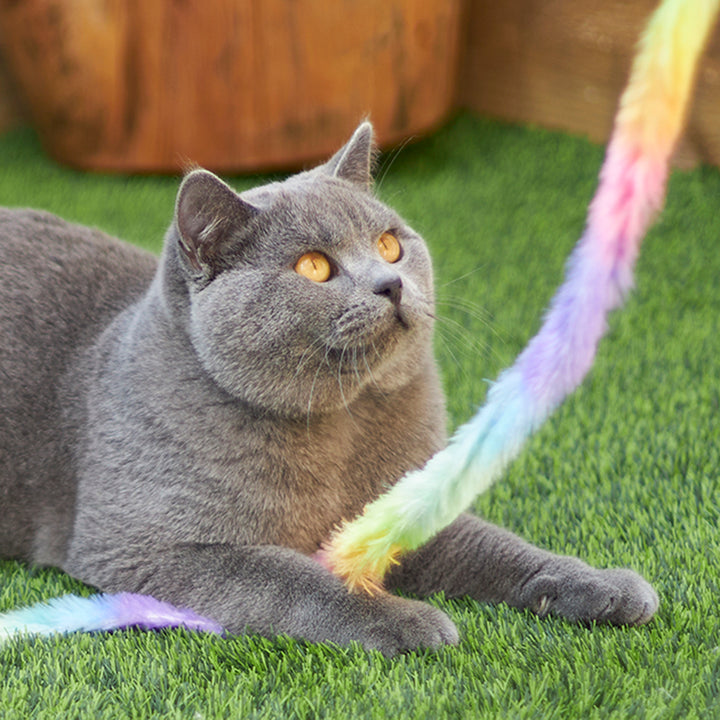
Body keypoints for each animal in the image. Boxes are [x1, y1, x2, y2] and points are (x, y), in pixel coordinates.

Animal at [0, 125, 660, 660]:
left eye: (391, 244)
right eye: (313, 267)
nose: (391, 283)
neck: (346, 424)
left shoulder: (406, 499)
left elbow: (497, 547)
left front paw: (602, 586)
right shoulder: (145, 549)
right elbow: (289, 577)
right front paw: (406, 621)